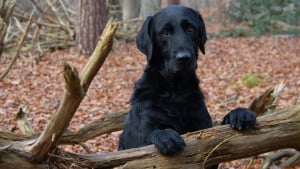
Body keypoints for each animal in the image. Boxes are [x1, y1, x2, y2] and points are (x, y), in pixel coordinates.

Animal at [118, 4, 256, 168]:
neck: (175, 92)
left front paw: (239, 114)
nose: (184, 58)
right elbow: (149, 140)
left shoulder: (205, 133)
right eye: (165, 32)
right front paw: (165, 135)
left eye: (190, 28)